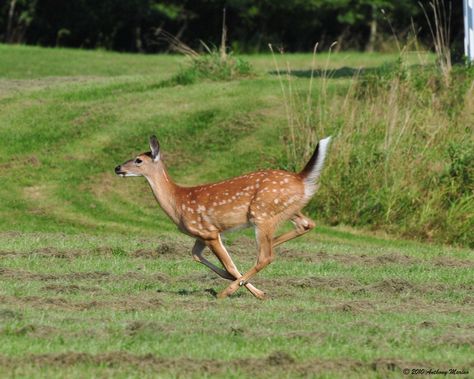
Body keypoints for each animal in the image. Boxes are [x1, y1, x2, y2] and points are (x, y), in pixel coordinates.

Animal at [115, 136, 332, 300]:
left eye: (138, 160)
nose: (117, 168)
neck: (177, 202)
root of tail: (300, 178)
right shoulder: (200, 235)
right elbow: (196, 255)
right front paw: (238, 282)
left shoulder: (208, 231)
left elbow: (229, 264)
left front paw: (256, 292)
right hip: (287, 210)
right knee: (306, 224)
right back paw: (272, 245)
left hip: (261, 214)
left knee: (266, 256)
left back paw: (227, 291)